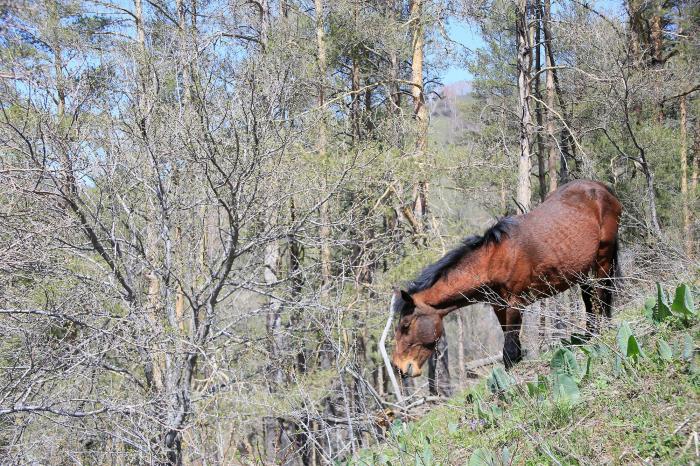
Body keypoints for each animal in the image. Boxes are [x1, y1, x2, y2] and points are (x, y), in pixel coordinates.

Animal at [388, 180, 624, 376]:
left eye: (406, 325)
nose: (399, 367)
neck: (494, 260)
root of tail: (602, 189)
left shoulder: (514, 304)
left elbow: (509, 351)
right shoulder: (499, 307)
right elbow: (512, 350)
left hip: (603, 260)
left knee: (603, 294)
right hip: (582, 269)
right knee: (589, 299)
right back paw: (590, 334)